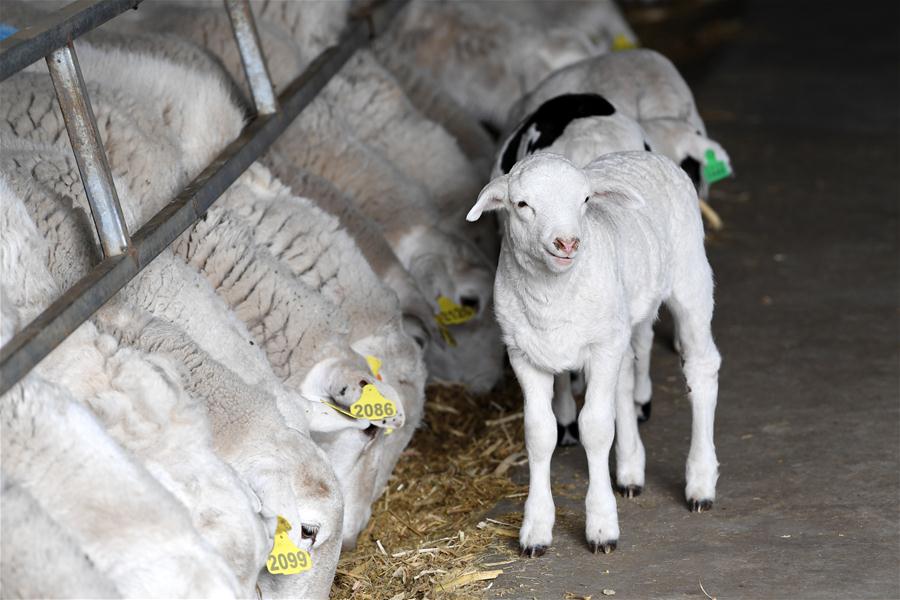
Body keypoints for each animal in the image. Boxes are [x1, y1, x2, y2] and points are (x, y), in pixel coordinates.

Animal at [465, 152, 721, 556]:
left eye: (585, 200)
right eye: (522, 204)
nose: (568, 243)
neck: (553, 292)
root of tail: (646, 154)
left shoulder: (601, 348)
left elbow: (597, 428)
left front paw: (602, 526)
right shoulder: (524, 354)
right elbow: (539, 433)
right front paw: (536, 528)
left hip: (689, 279)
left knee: (701, 369)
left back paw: (700, 482)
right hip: (620, 319)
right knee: (626, 379)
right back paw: (630, 470)